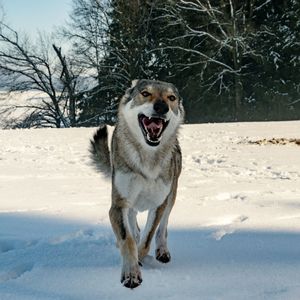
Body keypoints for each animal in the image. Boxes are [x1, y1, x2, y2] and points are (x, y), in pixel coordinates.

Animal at [90, 79, 184, 288]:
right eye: (145, 93)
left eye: (171, 98)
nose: (161, 107)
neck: (147, 158)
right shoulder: (119, 204)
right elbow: (128, 240)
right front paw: (131, 273)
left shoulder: (159, 203)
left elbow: (148, 238)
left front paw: (141, 259)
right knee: (133, 227)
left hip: (171, 196)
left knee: (162, 229)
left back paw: (162, 251)